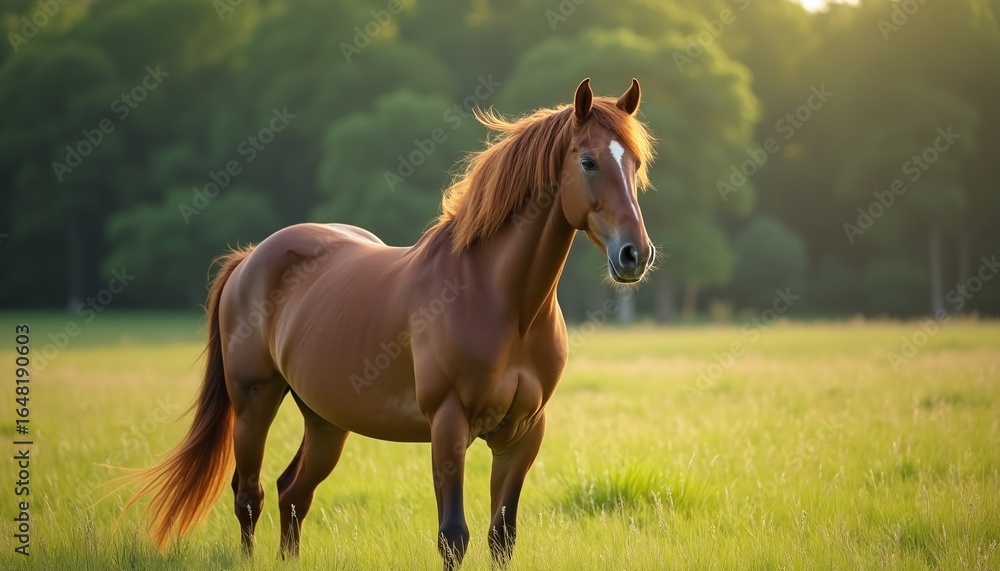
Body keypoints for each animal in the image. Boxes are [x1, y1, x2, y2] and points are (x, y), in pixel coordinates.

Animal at [127, 77, 656, 569]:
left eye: (635, 164)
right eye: (588, 162)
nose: (635, 254)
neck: (502, 302)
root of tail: (250, 258)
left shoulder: (524, 433)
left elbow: (501, 537)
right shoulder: (448, 424)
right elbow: (453, 537)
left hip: (324, 418)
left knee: (292, 493)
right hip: (254, 402)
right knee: (249, 495)